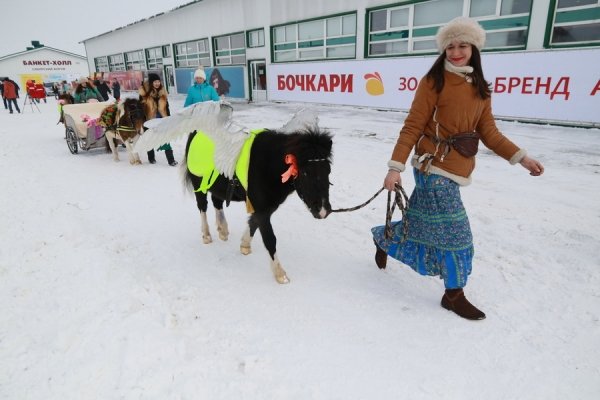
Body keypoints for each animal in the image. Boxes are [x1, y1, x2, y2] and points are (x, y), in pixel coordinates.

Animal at [136, 101, 332, 282]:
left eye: (328, 170)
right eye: (305, 172)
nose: (323, 211)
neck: (268, 166)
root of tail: (195, 132)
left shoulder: (265, 207)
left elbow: (252, 223)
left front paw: (244, 245)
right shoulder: (262, 209)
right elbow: (269, 239)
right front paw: (280, 274)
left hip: (217, 184)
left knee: (217, 202)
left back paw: (222, 229)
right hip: (199, 184)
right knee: (203, 207)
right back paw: (207, 235)